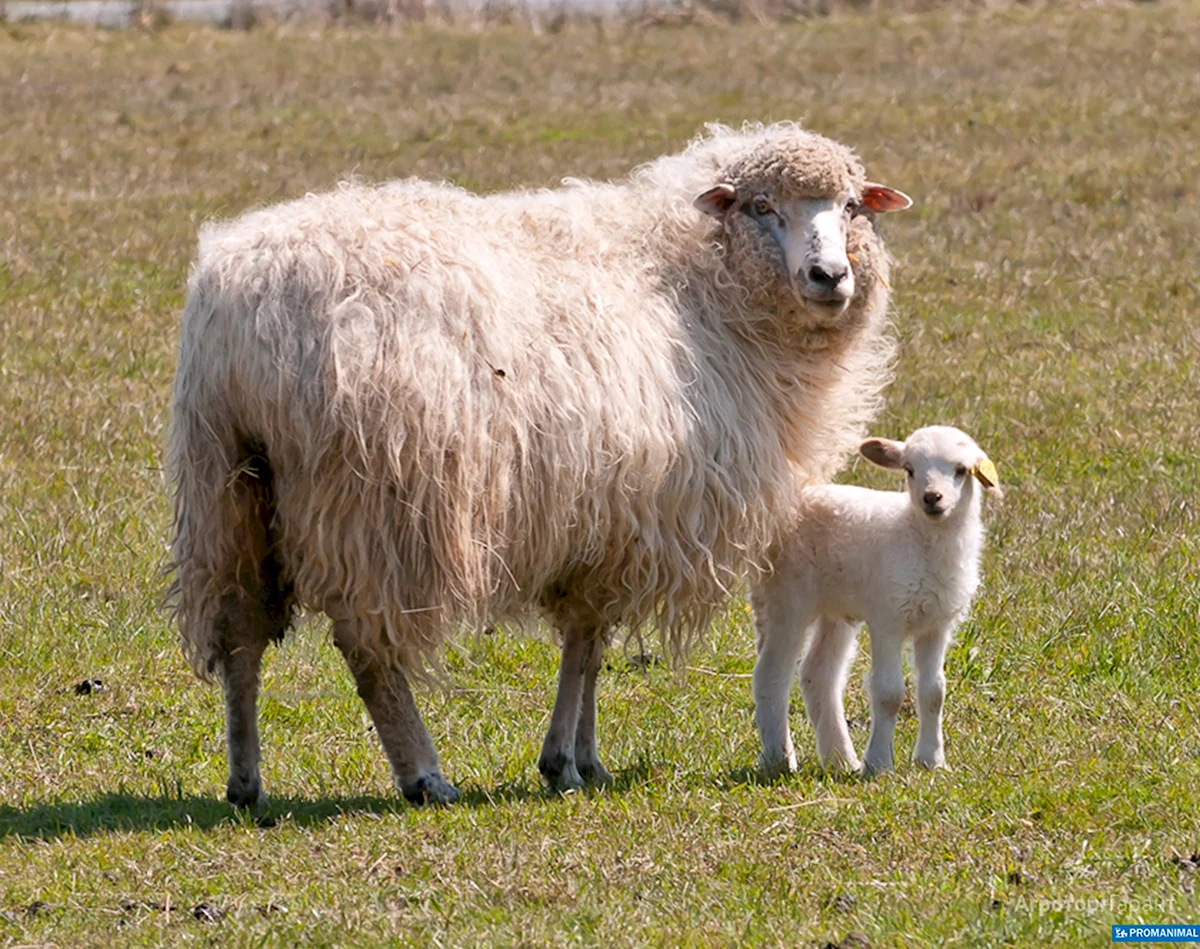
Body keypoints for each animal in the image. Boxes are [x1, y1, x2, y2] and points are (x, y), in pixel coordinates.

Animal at [169, 120, 907, 811]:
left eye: (850, 206)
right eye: (760, 206)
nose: (829, 277)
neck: (698, 282)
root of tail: (246, 311)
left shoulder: (601, 522)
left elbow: (590, 645)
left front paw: (584, 756)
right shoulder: (624, 520)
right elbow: (583, 644)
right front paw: (564, 761)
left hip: (229, 490)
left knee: (239, 634)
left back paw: (245, 780)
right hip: (373, 500)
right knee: (367, 645)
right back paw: (422, 773)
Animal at [753, 427, 998, 777]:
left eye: (961, 470)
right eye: (909, 470)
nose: (931, 498)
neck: (919, 539)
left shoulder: (937, 625)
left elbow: (934, 692)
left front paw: (932, 760)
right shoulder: (887, 617)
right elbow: (889, 693)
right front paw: (880, 763)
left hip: (836, 608)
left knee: (818, 674)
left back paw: (841, 759)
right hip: (785, 598)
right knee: (771, 673)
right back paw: (779, 759)